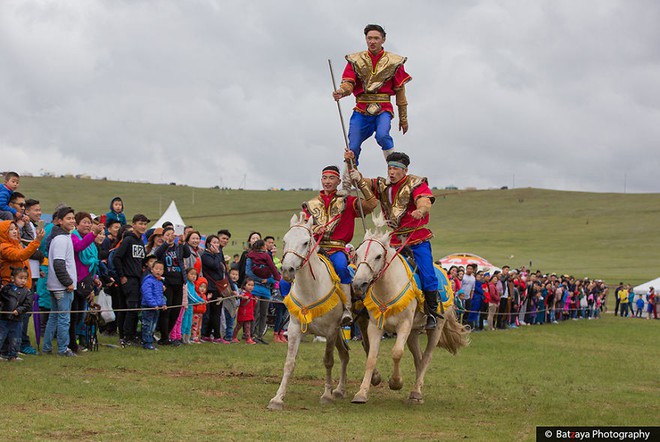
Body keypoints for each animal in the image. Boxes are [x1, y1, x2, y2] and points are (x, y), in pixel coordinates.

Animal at [268, 214, 382, 410]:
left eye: (305, 242)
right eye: (284, 240)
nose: (287, 270)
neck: (311, 289)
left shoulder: (330, 331)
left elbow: (328, 361)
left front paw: (326, 395)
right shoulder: (295, 329)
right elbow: (289, 363)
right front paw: (277, 398)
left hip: (361, 321)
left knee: (367, 347)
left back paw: (372, 378)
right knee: (345, 354)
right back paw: (340, 390)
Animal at [350, 221, 470, 404]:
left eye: (378, 256)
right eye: (356, 254)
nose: (358, 284)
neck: (388, 288)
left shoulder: (404, 326)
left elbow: (397, 353)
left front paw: (396, 382)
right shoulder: (375, 326)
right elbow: (371, 357)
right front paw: (361, 393)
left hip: (435, 328)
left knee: (426, 357)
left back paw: (416, 392)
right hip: (414, 332)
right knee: (418, 358)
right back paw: (416, 389)